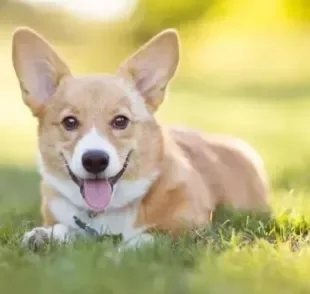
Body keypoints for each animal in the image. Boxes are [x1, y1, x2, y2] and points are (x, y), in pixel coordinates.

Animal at [12, 27, 268, 248]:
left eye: (120, 121)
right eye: (70, 122)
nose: (95, 160)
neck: (107, 211)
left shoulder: (193, 227)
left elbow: (150, 237)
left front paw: (123, 249)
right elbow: (66, 228)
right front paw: (45, 235)